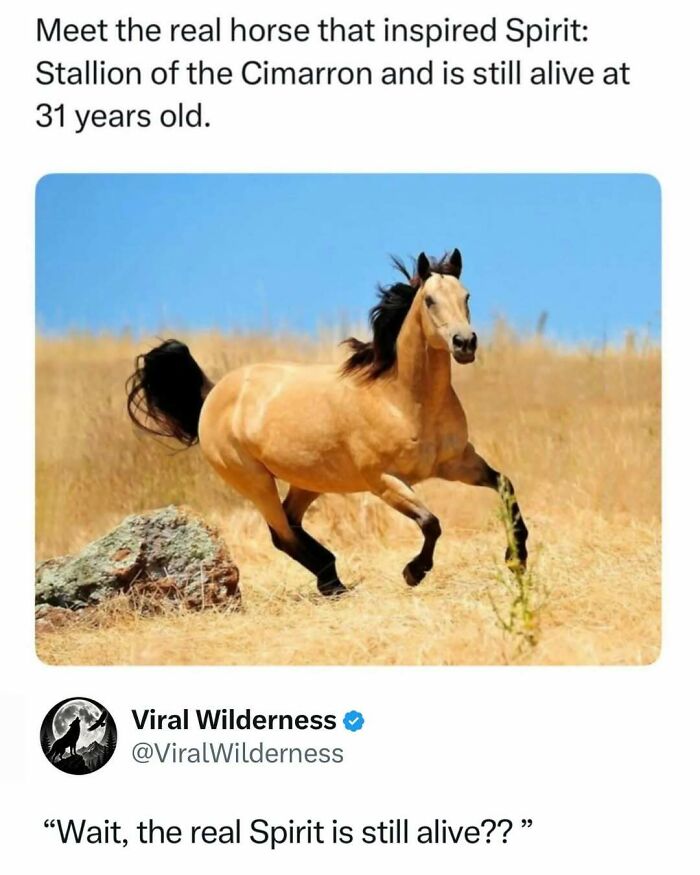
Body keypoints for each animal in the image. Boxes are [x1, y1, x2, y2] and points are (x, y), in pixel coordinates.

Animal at [127, 249, 528, 597]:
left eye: (467, 296)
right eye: (430, 300)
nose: (465, 343)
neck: (402, 401)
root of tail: (212, 394)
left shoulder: (457, 463)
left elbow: (505, 486)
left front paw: (517, 560)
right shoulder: (384, 481)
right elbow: (431, 522)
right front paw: (413, 572)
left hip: (308, 479)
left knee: (290, 523)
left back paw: (330, 578)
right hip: (254, 481)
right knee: (281, 533)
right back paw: (333, 583)